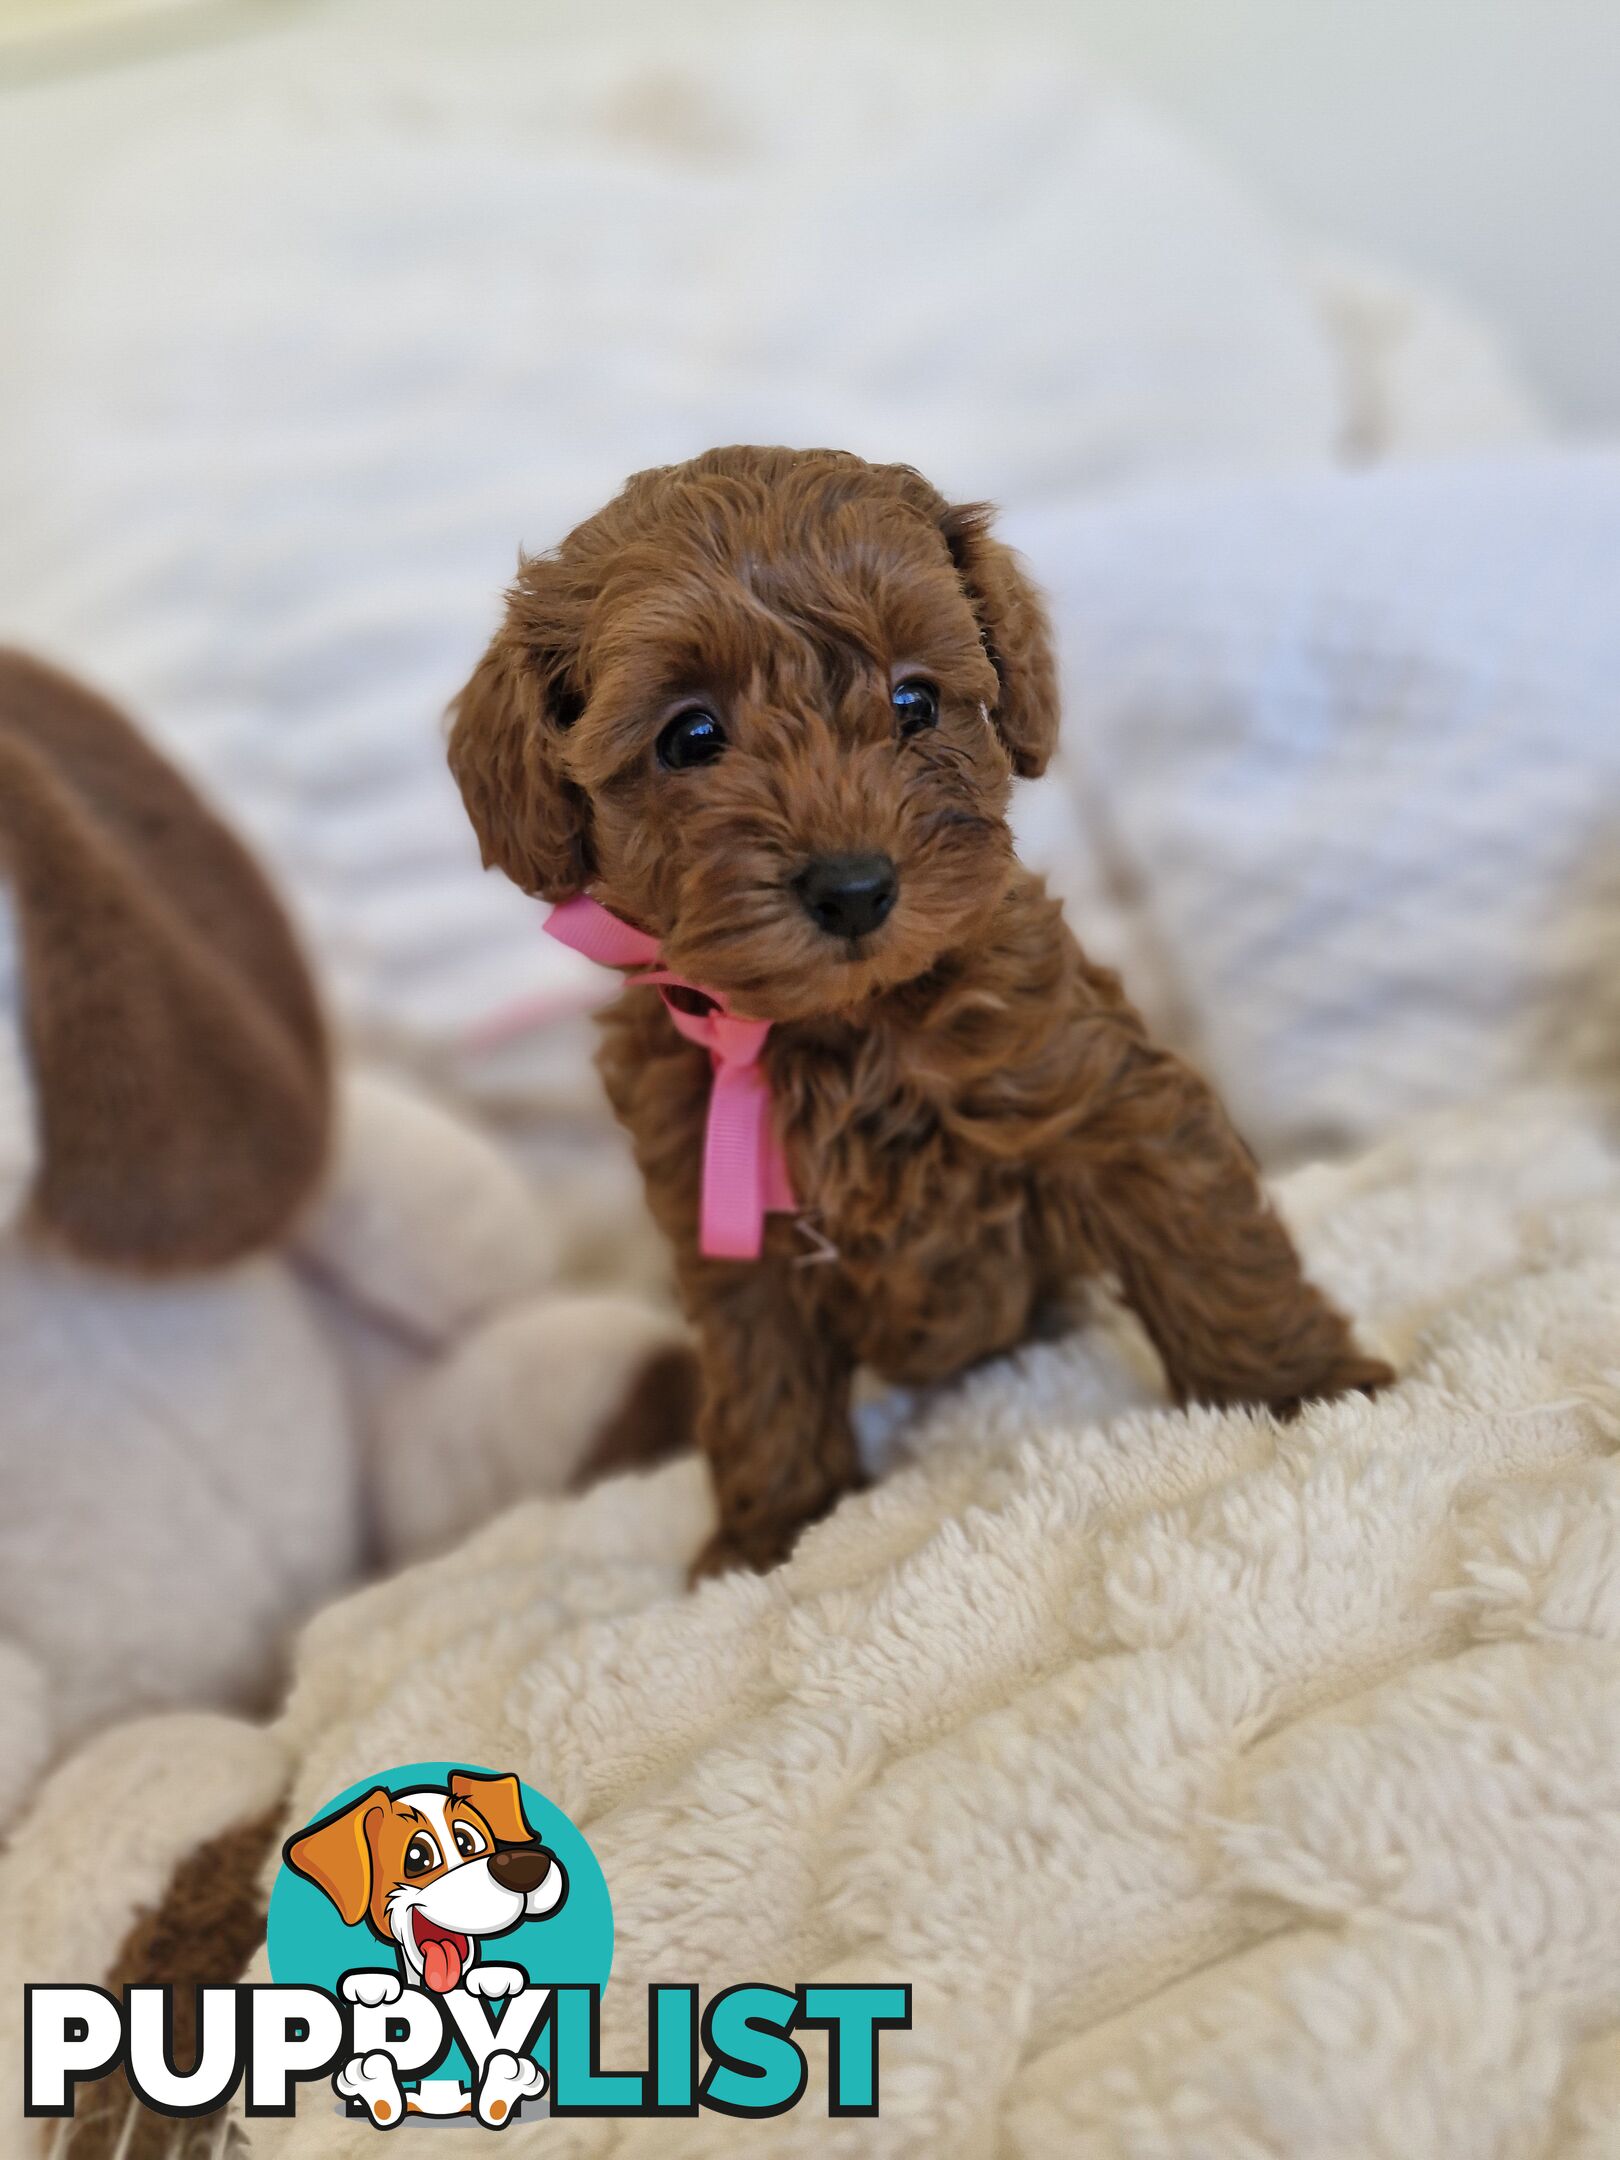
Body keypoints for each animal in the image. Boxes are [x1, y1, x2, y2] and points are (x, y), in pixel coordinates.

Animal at [457, 447, 1399, 1581]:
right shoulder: (720, 1221)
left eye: (914, 700)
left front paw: (1303, 1390)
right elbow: (761, 1381)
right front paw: (771, 1538)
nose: (854, 887)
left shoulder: (1101, 1093)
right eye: (691, 737)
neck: (842, 1026)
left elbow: (1208, 1246)